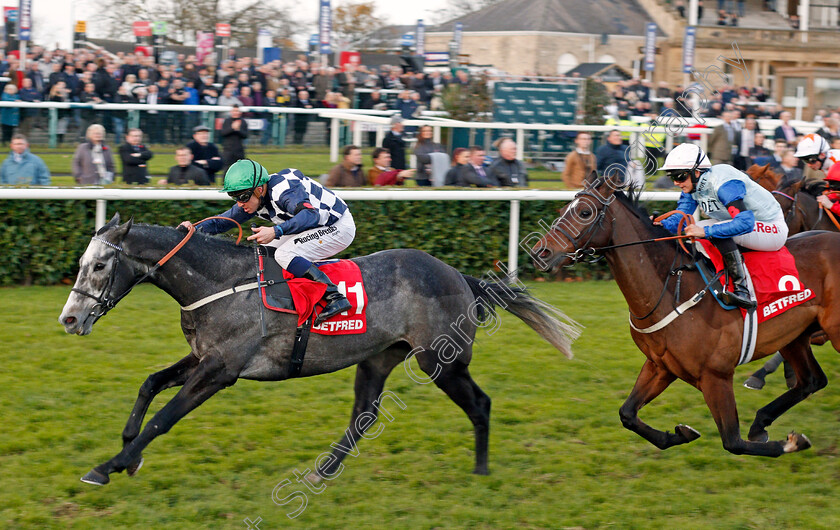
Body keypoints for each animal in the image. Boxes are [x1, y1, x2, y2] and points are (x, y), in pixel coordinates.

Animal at [60, 213, 584, 482]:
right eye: (83, 262)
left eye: (101, 266)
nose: (69, 319)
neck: (220, 282)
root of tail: (458, 275)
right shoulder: (204, 357)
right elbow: (150, 384)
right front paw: (128, 452)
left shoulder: (220, 371)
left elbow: (165, 417)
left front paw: (110, 465)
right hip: (379, 357)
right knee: (364, 415)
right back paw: (325, 470)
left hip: (441, 360)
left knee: (480, 403)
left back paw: (480, 469)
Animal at [536, 179, 840, 456]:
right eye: (563, 208)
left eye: (585, 212)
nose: (541, 251)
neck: (672, 290)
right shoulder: (660, 366)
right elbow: (628, 414)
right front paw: (681, 434)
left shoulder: (716, 376)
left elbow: (733, 442)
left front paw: (791, 443)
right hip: (793, 336)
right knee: (811, 381)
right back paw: (760, 422)